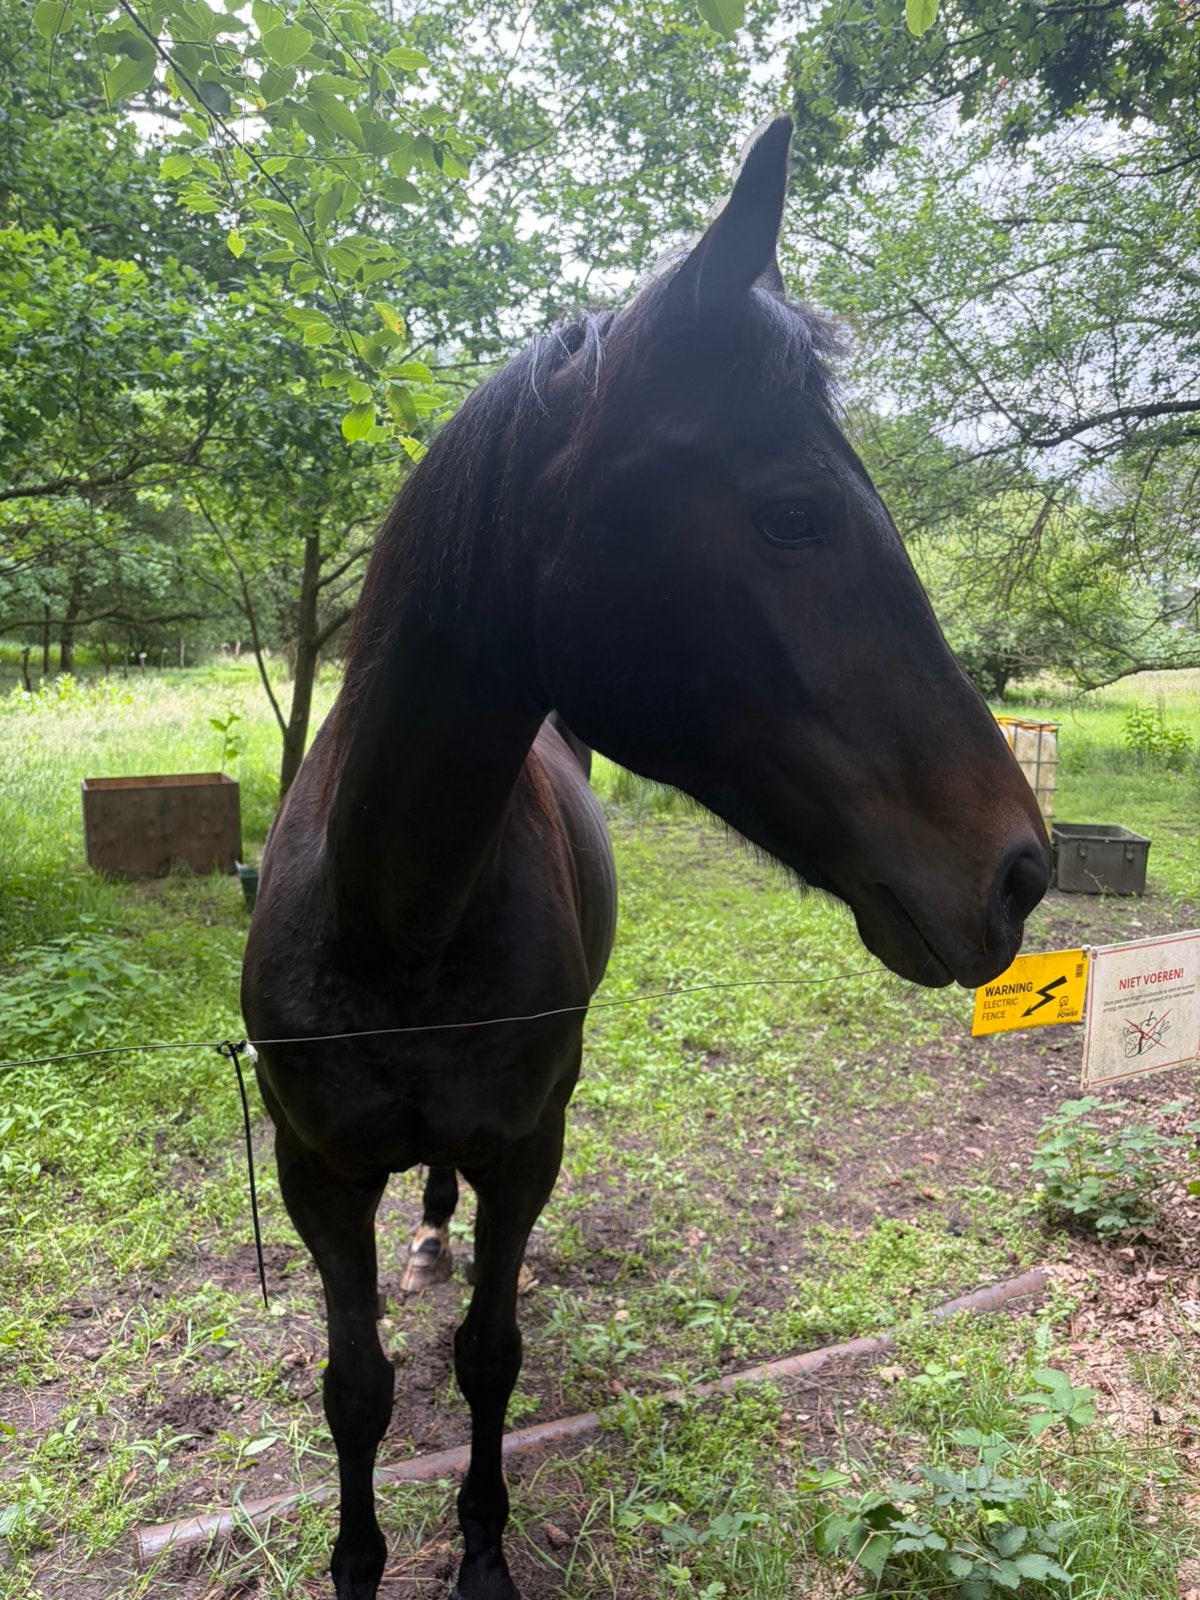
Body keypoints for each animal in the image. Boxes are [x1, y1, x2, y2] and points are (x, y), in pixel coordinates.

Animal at [241, 116, 1050, 1600]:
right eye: (794, 513)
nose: (1020, 868)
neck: (399, 916)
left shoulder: (526, 1146)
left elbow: (489, 1356)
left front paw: (482, 1553)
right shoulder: (314, 1170)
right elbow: (357, 1388)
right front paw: (358, 1560)